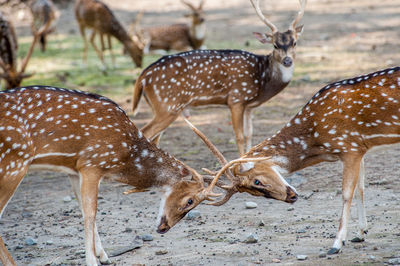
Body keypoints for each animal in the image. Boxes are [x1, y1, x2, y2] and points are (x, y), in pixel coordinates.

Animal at [0, 86, 296, 264]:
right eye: (190, 201)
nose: (163, 228)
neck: (124, 155)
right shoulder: (93, 163)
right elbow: (91, 213)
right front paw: (93, 260)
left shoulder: (74, 168)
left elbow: (84, 210)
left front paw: (105, 256)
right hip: (13, 162)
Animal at [134, 0, 306, 156]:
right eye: (275, 45)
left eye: (295, 43)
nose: (287, 61)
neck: (262, 80)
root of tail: (143, 75)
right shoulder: (236, 98)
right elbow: (239, 136)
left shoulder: (249, 106)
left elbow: (249, 135)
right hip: (168, 105)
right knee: (145, 132)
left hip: (160, 106)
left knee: (154, 138)